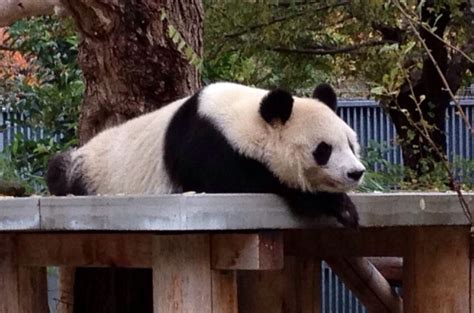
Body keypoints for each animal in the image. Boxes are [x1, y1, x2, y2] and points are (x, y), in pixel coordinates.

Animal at [48, 80, 364, 227]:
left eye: (350, 144)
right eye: (323, 150)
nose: (356, 172)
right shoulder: (209, 149)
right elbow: (246, 183)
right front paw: (339, 205)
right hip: (89, 167)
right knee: (59, 169)